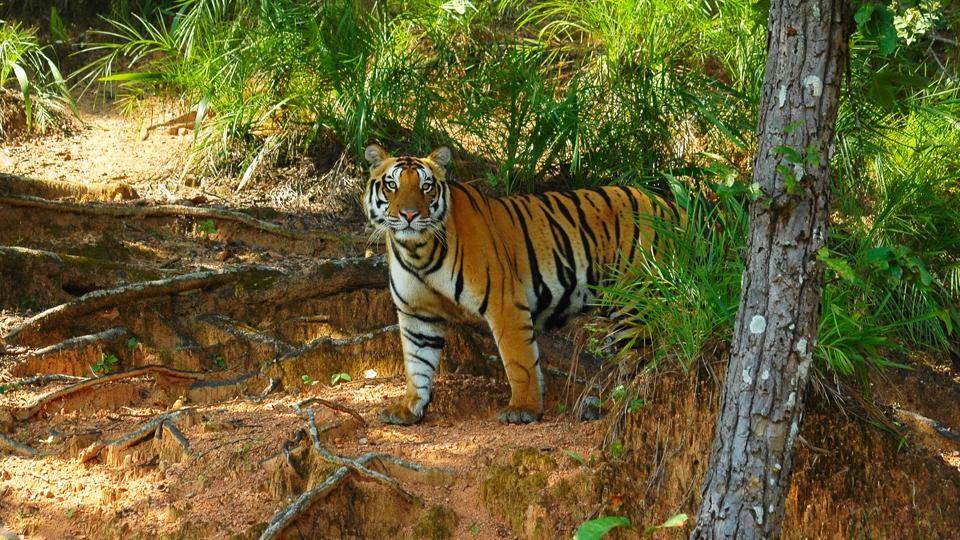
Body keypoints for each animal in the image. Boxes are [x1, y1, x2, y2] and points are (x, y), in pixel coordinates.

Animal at [363, 144, 677, 424]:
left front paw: (524, 409)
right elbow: (417, 363)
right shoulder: (417, 315)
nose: (410, 215)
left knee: (637, 365)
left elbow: (519, 361)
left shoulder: (504, 304)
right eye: (392, 185)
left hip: (635, 303)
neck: (417, 250)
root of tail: (671, 206)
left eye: (426, 186)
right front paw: (409, 408)